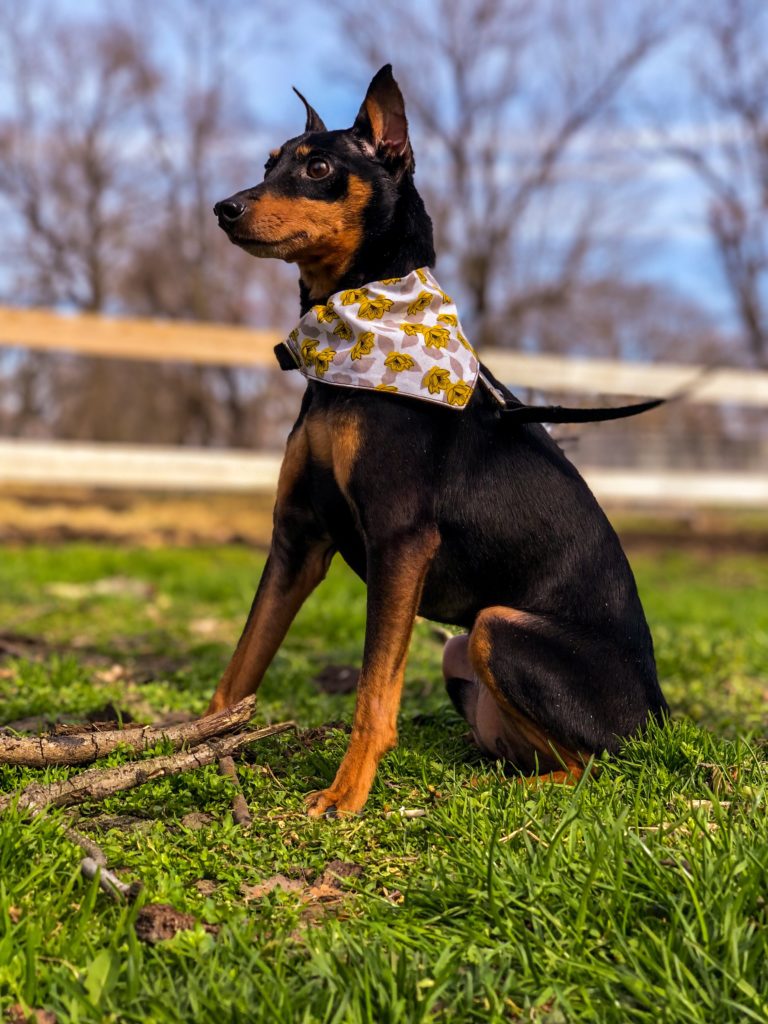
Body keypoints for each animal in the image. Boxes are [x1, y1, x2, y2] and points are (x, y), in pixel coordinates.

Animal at [210, 61, 667, 815]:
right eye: (267, 164)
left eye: (319, 167)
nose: (224, 208)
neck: (354, 340)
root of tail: (662, 716)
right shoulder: (298, 539)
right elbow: (241, 664)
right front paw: (192, 744)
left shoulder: (401, 541)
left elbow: (374, 693)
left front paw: (344, 796)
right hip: (463, 646)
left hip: (497, 628)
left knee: (592, 768)